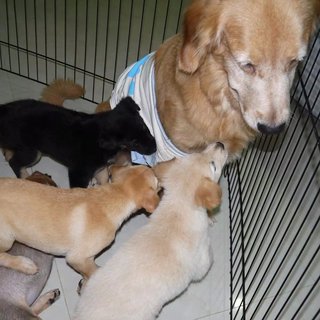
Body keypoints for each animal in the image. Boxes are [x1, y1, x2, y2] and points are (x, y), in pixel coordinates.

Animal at [0, 97, 156, 188]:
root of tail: (4, 110)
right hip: (33, 152)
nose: (154, 148)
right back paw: (26, 178)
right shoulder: (79, 172)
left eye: (144, 127)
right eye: (133, 141)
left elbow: (104, 180)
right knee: (15, 163)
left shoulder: (100, 167)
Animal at [0, 164, 160, 292]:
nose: (152, 165)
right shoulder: (77, 258)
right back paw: (24, 264)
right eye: (157, 182)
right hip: (7, 238)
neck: (111, 196)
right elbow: (93, 271)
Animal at [72, 142, 228, 320]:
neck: (178, 206)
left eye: (196, 153)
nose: (220, 144)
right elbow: (207, 261)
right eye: (213, 165)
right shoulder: (201, 259)